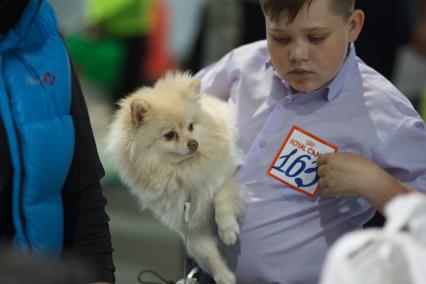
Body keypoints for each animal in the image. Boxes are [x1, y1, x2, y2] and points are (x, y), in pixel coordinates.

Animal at [106, 71, 243, 284]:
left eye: (191, 126)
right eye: (170, 135)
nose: (194, 143)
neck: (182, 170)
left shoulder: (225, 174)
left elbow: (222, 199)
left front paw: (228, 230)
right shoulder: (187, 223)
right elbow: (207, 253)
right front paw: (223, 276)